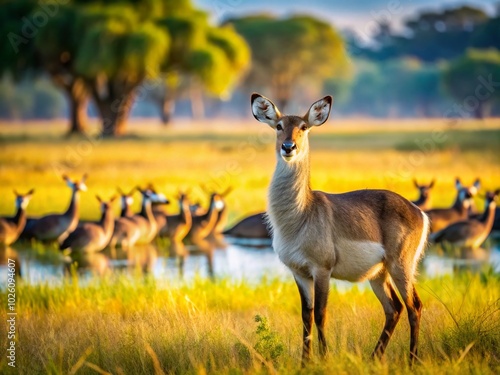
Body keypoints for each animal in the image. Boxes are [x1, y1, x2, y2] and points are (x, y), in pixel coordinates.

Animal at [252, 93, 428, 364]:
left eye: (304, 127)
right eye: (279, 126)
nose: (289, 147)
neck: (299, 215)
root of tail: (418, 211)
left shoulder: (322, 270)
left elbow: (320, 314)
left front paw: (324, 359)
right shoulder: (299, 273)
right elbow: (306, 315)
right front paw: (304, 362)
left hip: (401, 267)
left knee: (414, 306)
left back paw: (411, 360)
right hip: (379, 274)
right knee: (394, 308)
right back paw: (373, 358)